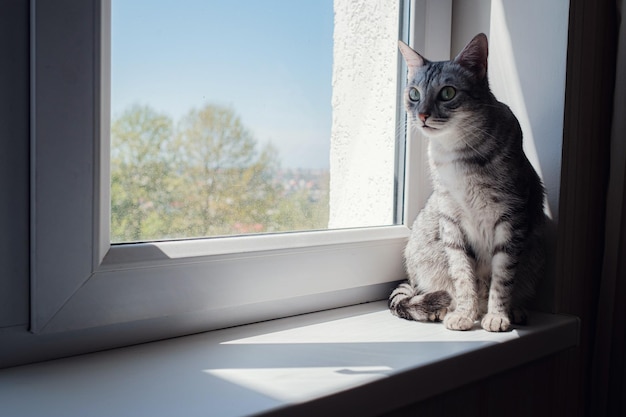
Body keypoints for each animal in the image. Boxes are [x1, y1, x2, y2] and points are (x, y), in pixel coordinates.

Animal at [388, 33, 544, 332]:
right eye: (414, 94)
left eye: (447, 93)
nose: (422, 115)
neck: (455, 152)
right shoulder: (451, 220)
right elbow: (462, 275)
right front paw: (463, 313)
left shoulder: (510, 218)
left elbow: (502, 278)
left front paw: (497, 316)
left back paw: (511, 310)